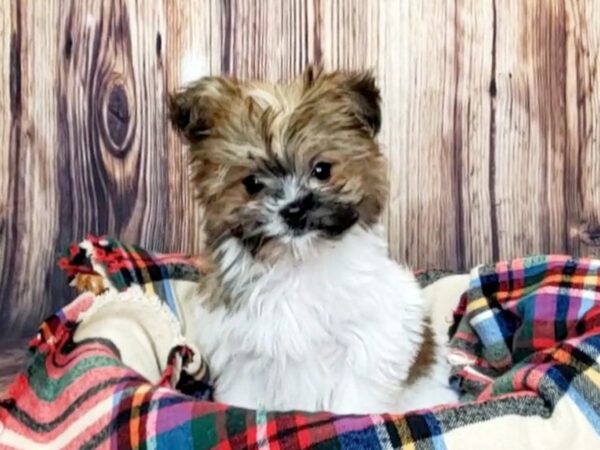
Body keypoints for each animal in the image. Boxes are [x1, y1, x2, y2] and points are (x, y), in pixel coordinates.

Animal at [171, 67, 458, 414]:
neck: (297, 265)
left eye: (322, 170)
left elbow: (353, 404)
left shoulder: (367, 344)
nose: (294, 209)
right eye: (252, 183)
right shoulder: (243, 356)